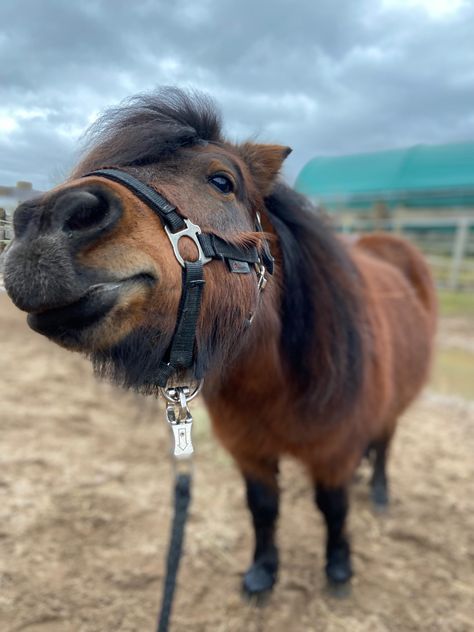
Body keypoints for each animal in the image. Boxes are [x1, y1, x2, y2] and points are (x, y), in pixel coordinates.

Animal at [3, 89, 436, 596]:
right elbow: (263, 508)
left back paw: (382, 492)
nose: (44, 221)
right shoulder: (250, 454)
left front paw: (339, 568)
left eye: (221, 181)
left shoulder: (335, 453)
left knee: (385, 442)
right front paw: (263, 572)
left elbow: (333, 508)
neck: (277, 380)